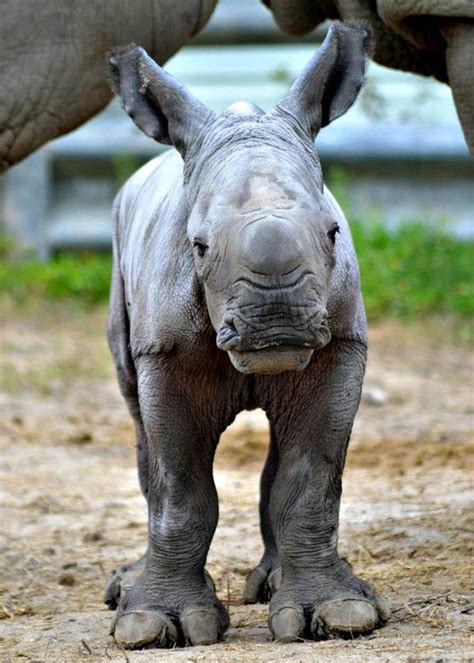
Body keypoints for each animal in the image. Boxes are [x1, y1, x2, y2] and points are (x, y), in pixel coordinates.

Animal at [105, 22, 386, 652]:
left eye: (333, 233)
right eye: (199, 245)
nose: (275, 320)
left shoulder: (339, 345)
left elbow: (311, 479)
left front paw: (339, 614)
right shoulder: (165, 355)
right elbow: (181, 490)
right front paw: (154, 625)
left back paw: (279, 584)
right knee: (137, 420)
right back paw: (126, 589)